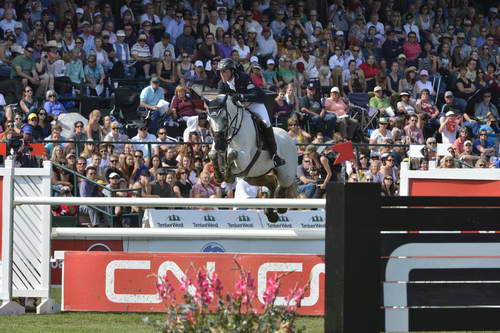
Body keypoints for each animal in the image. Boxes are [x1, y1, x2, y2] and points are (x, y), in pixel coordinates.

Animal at [202, 94, 296, 222]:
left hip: (285, 173)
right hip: (252, 175)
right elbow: (212, 154)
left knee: (283, 184)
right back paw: (271, 213)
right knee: (271, 182)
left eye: (225, 119)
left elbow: (231, 153)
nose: (219, 145)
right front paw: (219, 176)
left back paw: (280, 207)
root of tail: (289, 137)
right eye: (208, 120)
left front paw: (227, 175)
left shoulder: (244, 160)